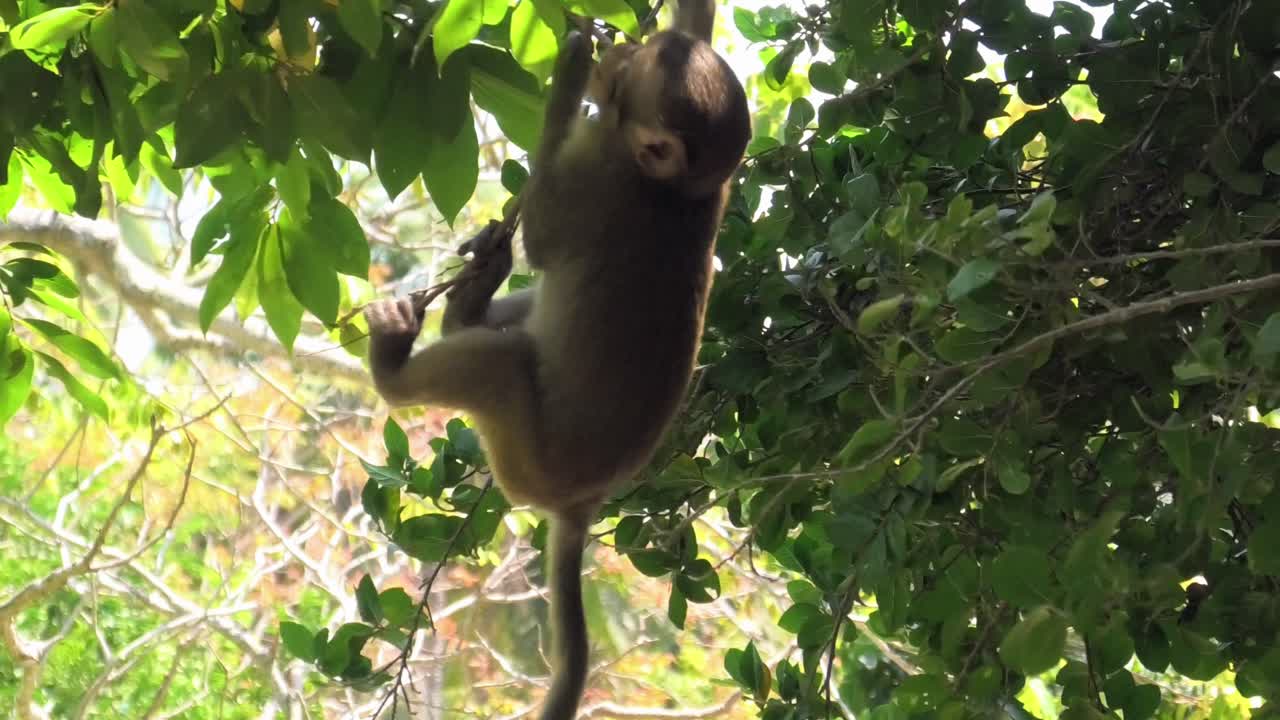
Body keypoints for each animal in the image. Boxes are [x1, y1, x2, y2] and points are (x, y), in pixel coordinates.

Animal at [363, 2, 750, 716]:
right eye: (641, 54)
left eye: (624, 74)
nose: (612, 60)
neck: (677, 188)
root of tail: (581, 504)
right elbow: (698, 28)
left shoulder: (602, 172)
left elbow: (544, 235)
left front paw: (570, 68)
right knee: (518, 317)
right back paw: (473, 298)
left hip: (524, 459)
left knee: (503, 362)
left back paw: (394, 367)